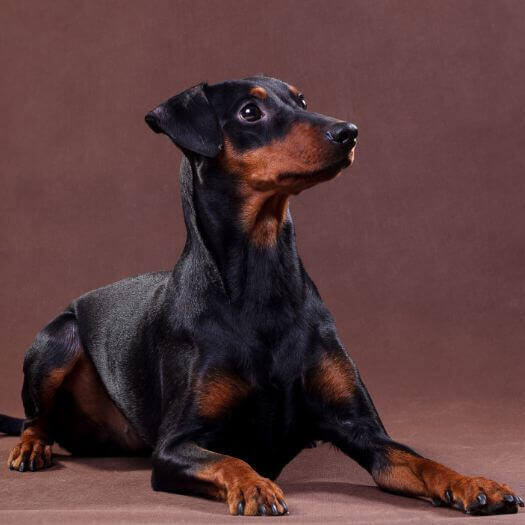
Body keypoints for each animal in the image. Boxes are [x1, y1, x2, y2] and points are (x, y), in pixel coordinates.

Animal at [2, 75, 520, 512]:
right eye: (250, 112)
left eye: (302, 101)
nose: (349, 132)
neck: (262, 278)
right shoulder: (174, 446)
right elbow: (230, 459)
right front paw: (255, 485)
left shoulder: (364, 431)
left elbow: (419, 460)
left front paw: (474, 482)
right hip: (56, 340)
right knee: (34, 418)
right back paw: (32, 448)